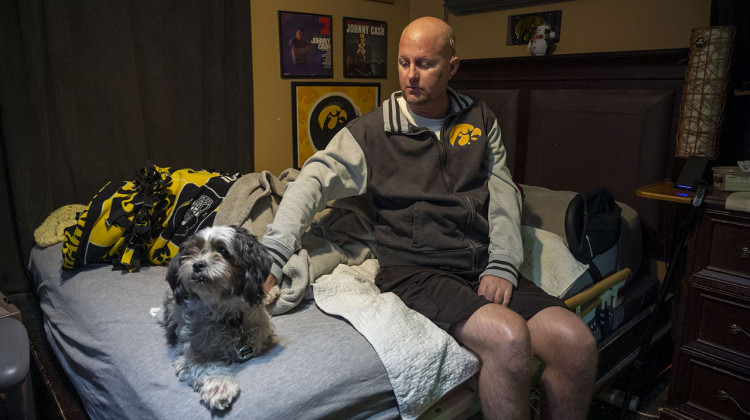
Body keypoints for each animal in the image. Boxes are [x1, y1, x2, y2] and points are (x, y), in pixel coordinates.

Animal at [161, 225, 276, 412]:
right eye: (192, 251)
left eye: (222, 250)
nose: (197, 264)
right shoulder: (190, 351)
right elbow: (205, 365)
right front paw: (219, 387)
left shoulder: (261, 329)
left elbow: (259, 337)